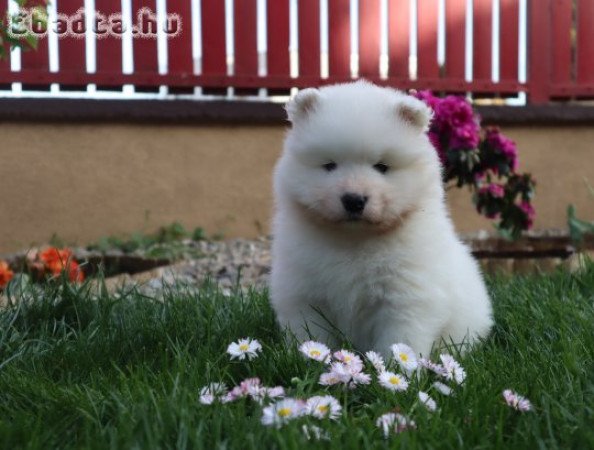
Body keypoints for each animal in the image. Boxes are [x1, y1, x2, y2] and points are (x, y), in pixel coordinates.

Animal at [268, 79, 490, 356]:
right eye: (329, 165)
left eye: (382, 167)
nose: (353, 199)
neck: (354, 241)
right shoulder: (305, 295)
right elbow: (310, 335)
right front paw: (308, 357)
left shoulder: (405, 298)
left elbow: (400, 343)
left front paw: (398, 366)